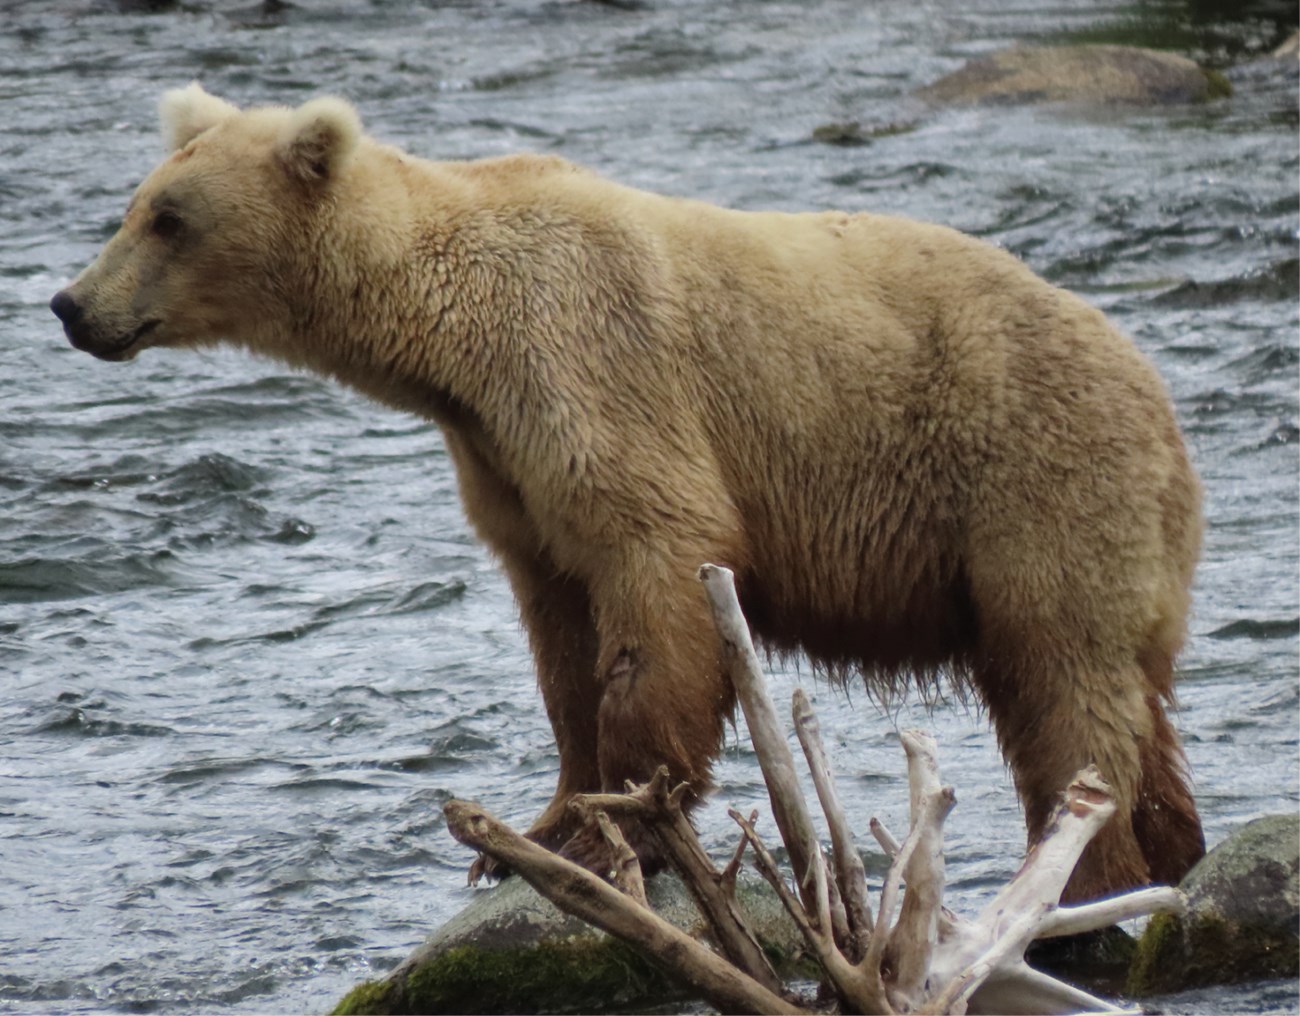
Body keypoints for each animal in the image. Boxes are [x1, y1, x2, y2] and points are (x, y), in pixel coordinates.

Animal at [51, 84, 1205, 902]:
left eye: (169, 218)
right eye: (133, 205)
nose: (71, 303)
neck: (449, 345)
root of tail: (1160, 400)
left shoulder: (589, 371)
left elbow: (656, 572)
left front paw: (629, 824)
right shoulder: (503, 464)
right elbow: (559, 633)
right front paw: (536, 827)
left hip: (1035, 482)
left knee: (1063, 683)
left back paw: (1087, 873)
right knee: (1128, 699)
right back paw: (1171, 845)